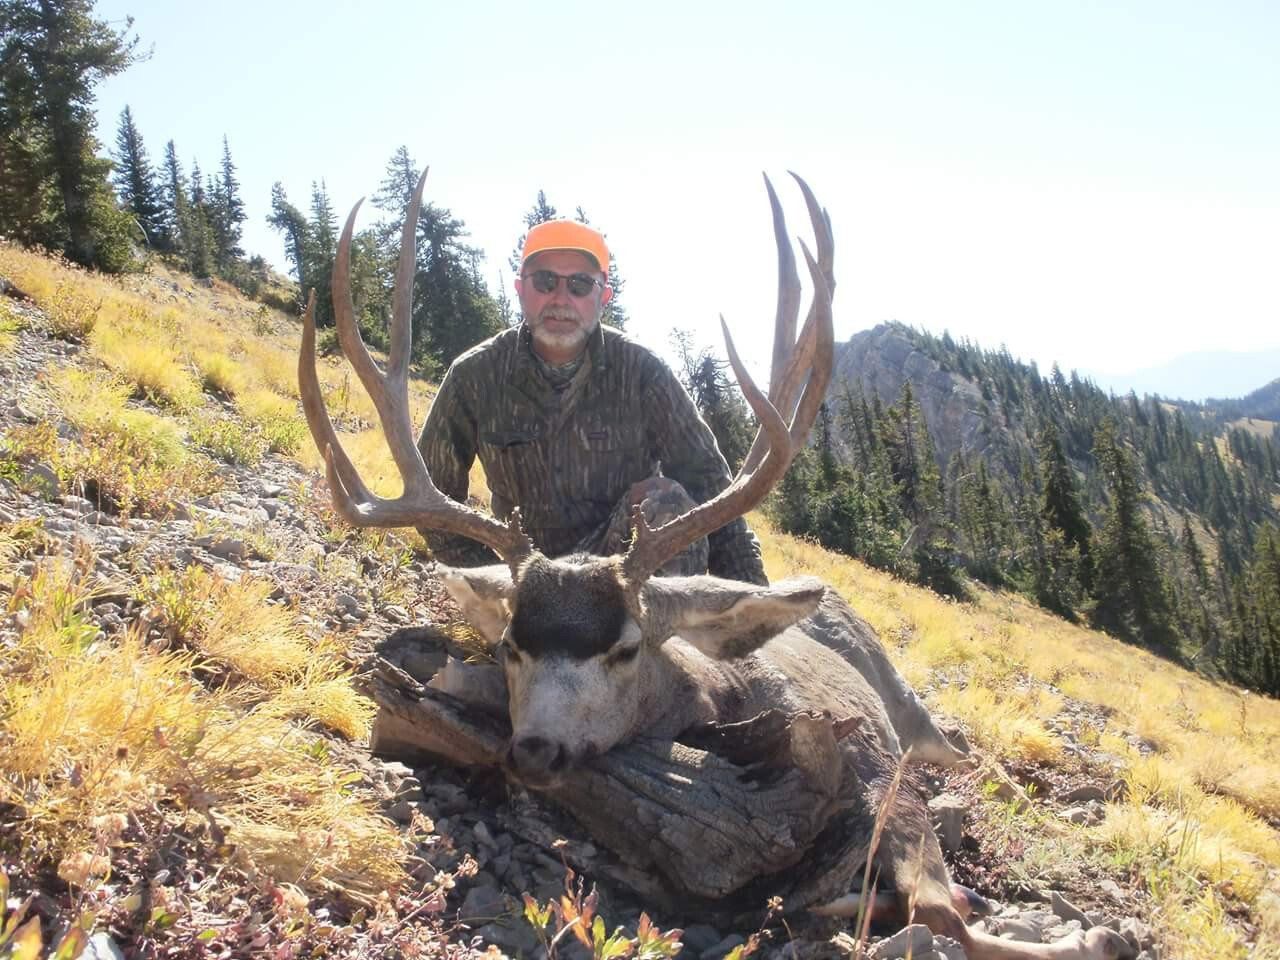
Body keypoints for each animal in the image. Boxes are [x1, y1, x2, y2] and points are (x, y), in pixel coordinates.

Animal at [298, 169, 1134, 960]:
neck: (717, 700)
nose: (534, 748)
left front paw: (1097, 935)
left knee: (956, 752)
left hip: (905, 705)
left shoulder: (883, 784)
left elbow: (940, 912)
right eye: (511, 646)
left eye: (626, 648)